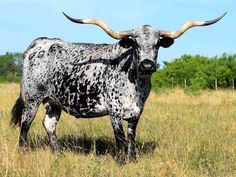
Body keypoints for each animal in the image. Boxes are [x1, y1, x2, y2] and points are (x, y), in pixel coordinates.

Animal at [10, 12, 225, 162]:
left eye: (157, 43)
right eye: (135, 43)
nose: (147, 65)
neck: (136, 84)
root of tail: (40, 42)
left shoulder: (136, 112)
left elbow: (131, 137)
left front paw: (133, 160)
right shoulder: (114, 111)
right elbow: (120, 138)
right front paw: (122, 161)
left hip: (54, 102)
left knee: (49, 125)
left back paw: (59, 153)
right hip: (32, 99)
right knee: (25, 126)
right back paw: (22, 152)